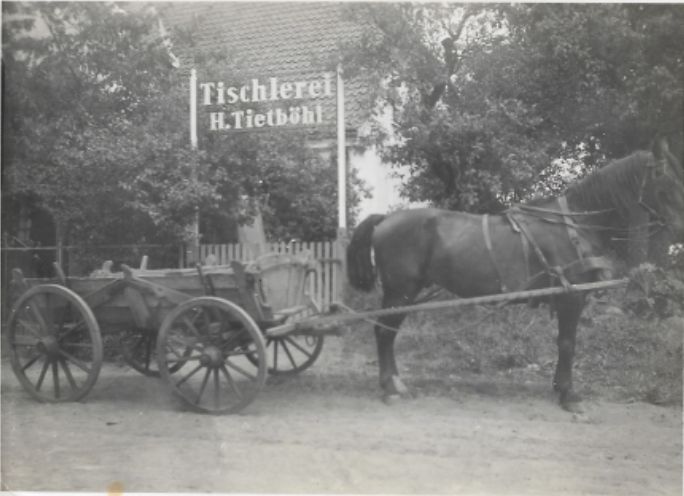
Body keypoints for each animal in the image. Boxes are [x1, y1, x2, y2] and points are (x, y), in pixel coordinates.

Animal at [344, 140, 684, 410]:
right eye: (665, 179)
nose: (680, 233)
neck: (574, 226)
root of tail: (385, 219)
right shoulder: (570, 298)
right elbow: (567, 343)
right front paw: (568, 394)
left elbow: (563, 342)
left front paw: (560, 387)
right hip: (400, 291)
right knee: (384, 333)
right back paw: (390, 387)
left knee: (385, 332)